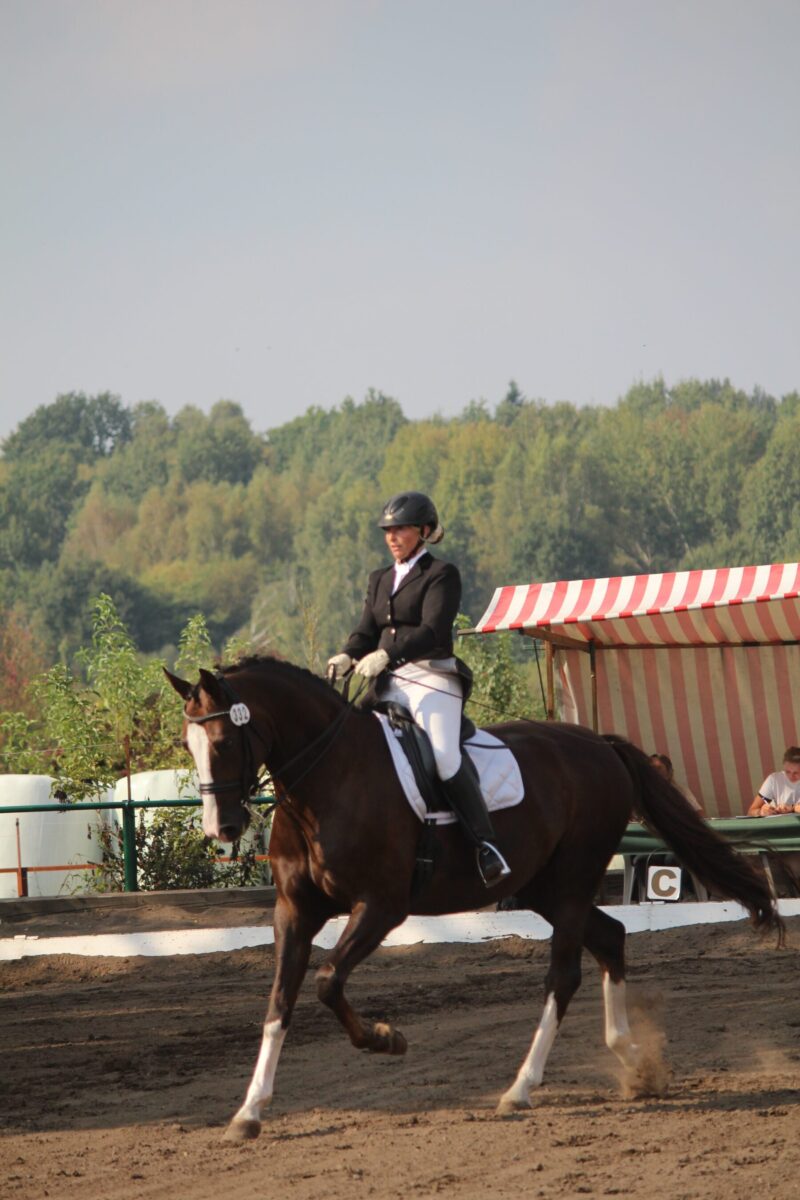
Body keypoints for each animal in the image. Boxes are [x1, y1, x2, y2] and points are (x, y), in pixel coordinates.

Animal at [165, 662, 786, 1137]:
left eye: (222, 741)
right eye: (187, 745)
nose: (221, 828)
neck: (328, 781)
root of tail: (599, 744)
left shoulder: (382, 906)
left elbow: (327, 981)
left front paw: (385, 1039)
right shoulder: (294, 911)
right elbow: (280, 1001)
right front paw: (249, 1112)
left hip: (570, 883)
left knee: (564, 976)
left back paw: (522, 1087)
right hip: (541, 887)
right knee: (611, 937)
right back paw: (635, 1062)